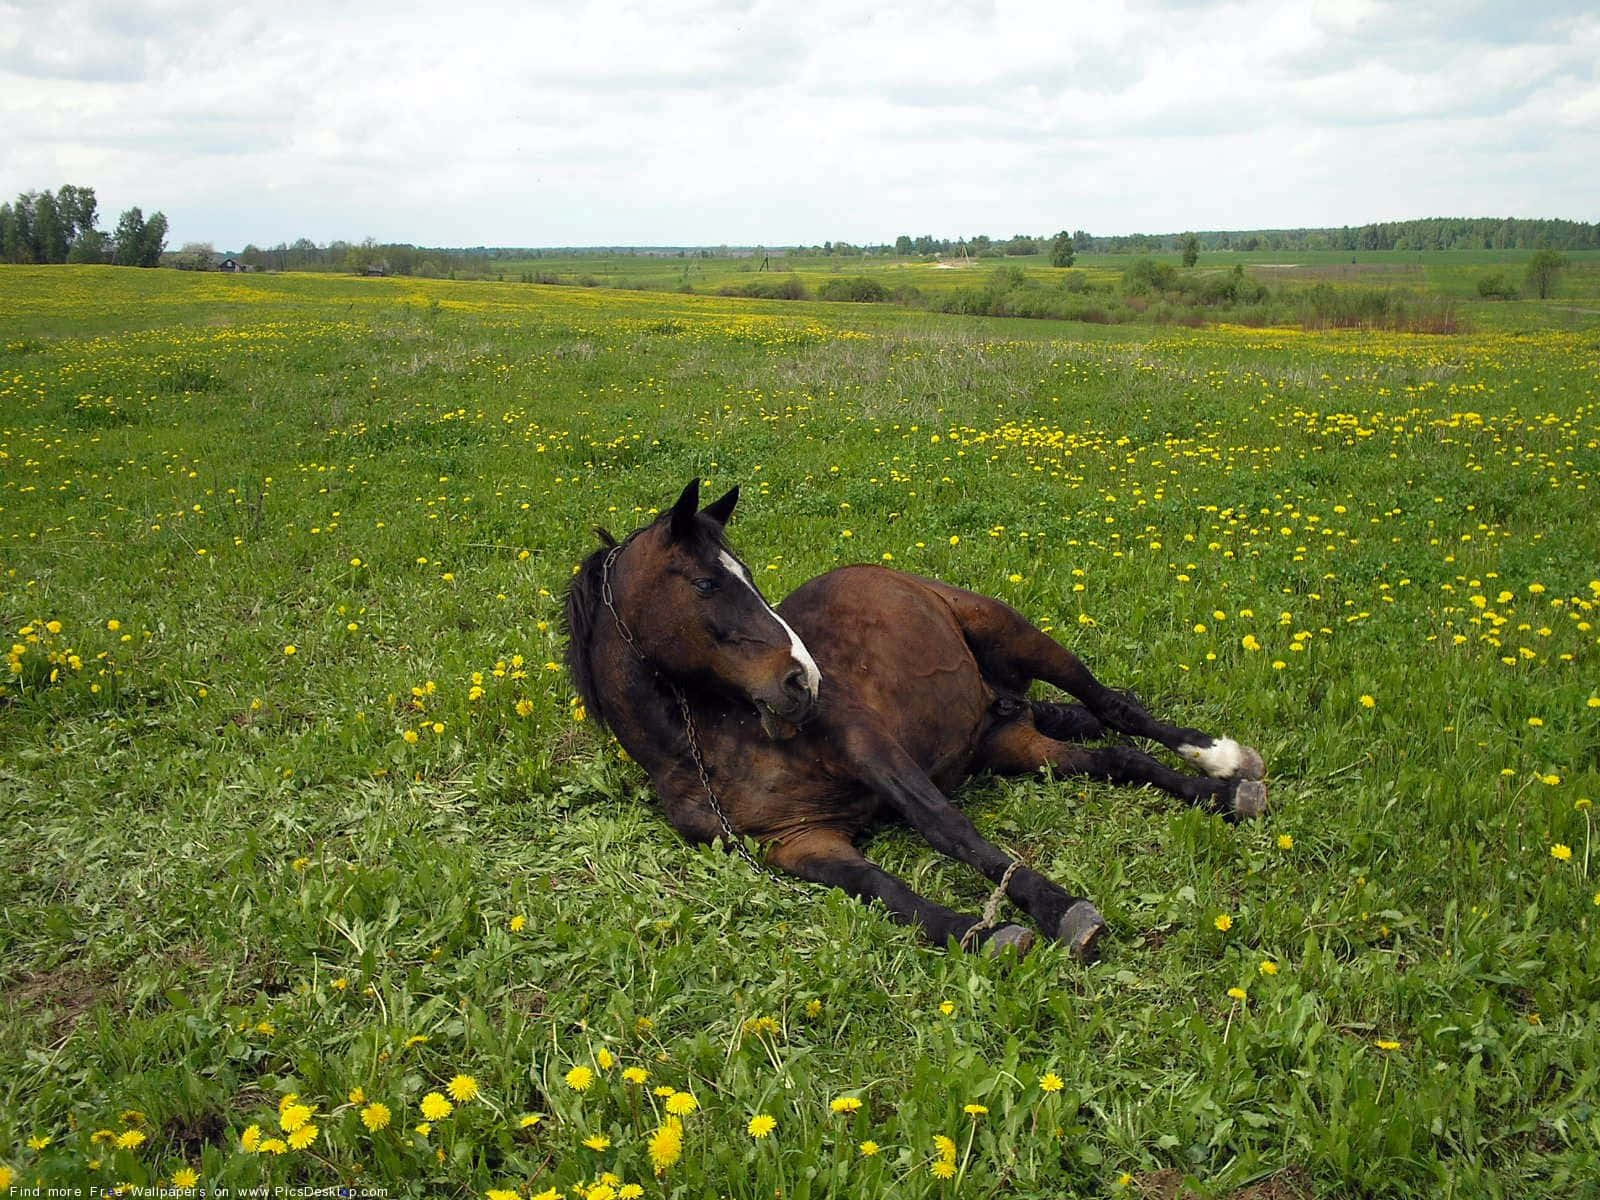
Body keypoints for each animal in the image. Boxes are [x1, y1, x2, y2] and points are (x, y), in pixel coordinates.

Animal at [564, 480, 1267, 960]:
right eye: (706, 584)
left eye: (749, 576)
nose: (803, 681)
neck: (709, 746)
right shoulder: (796, 843)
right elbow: (882, 891)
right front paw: (981, 933)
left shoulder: (870, 748)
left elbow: (947, 828)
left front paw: (1060, 909)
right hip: (1008, 744)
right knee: (1111, 755)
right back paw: (1217, 794)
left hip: (1016, 636)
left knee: (1113, 706)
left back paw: (1222, 762)